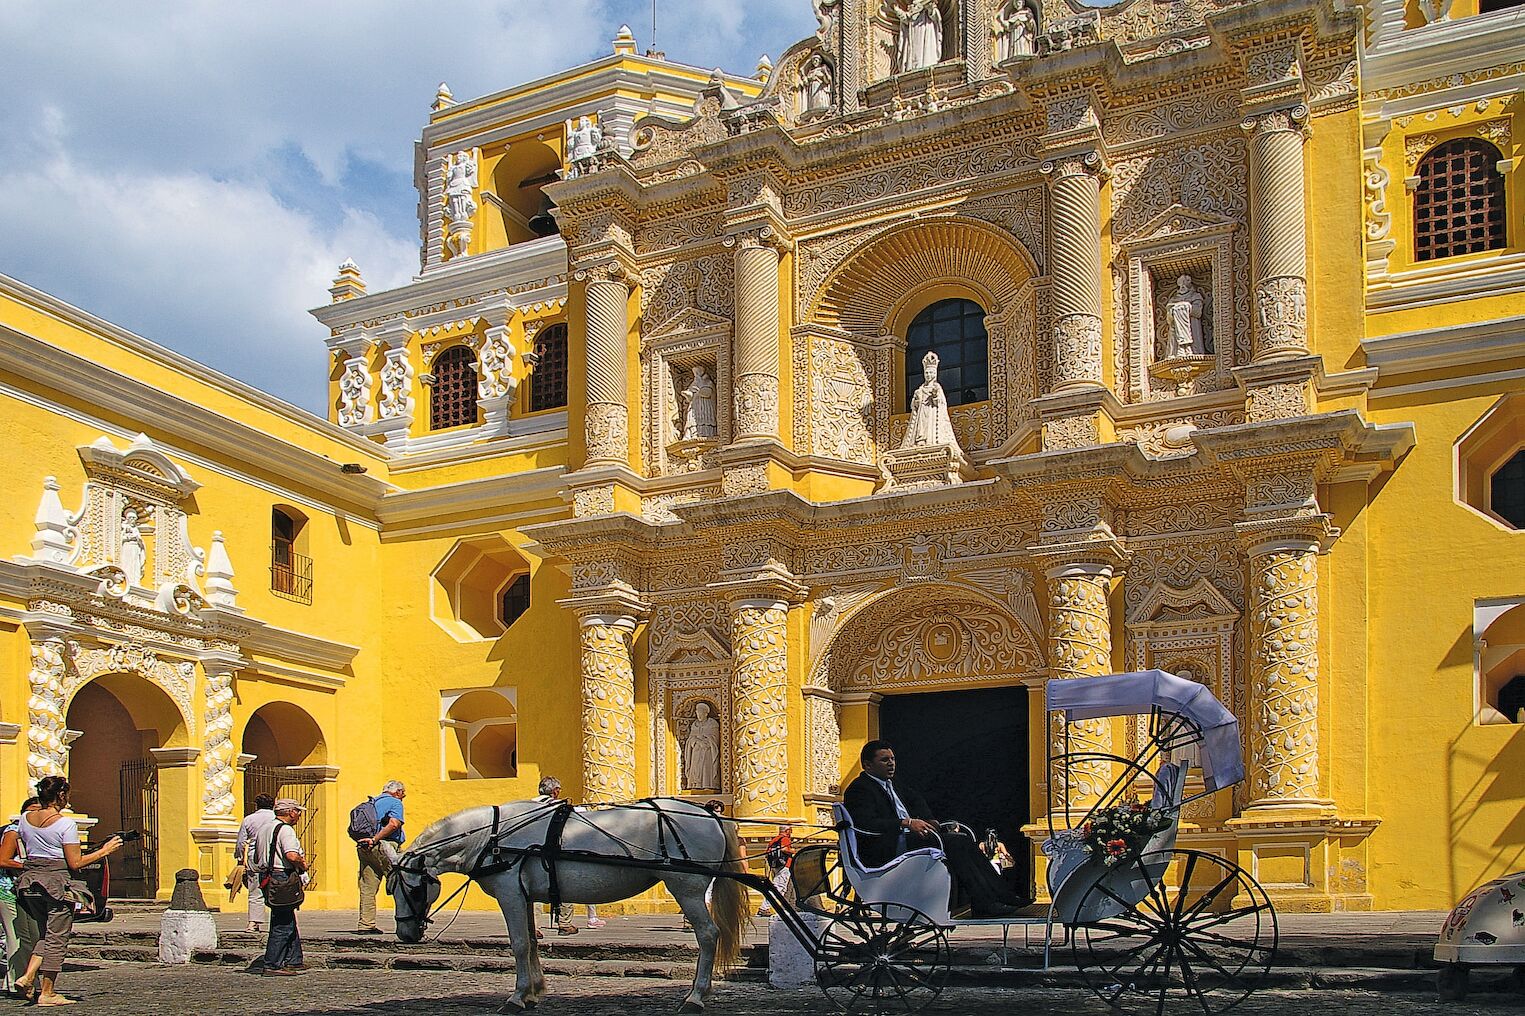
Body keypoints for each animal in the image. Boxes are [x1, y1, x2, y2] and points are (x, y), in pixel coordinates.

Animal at [390, 799, 753, 1006]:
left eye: (411, 889)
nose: (406, 934)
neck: (493, 837)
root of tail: (709, 814)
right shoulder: (523, 894)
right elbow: (532, 942)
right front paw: (535, 989)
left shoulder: (509, 891)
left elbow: (518, 944)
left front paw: (517, 997)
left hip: (687, 887)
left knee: (708, 935)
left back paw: (695, 996)